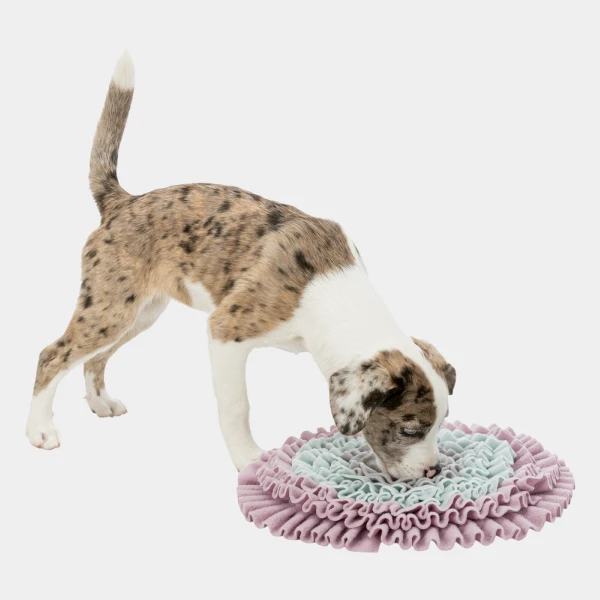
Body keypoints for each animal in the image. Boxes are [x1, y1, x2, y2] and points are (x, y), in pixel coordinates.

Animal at [27, 52, 456, 480]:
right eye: (409, 428)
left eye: (442, 423)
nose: (434, 472)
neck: (328, 291)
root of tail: (122, 201)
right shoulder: (225, 333)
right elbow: (237, 407)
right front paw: (248, 459)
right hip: (109, 309)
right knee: (52, 355)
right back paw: (40, 430)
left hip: (139, 313)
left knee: (94, 358)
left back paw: (100, 402)